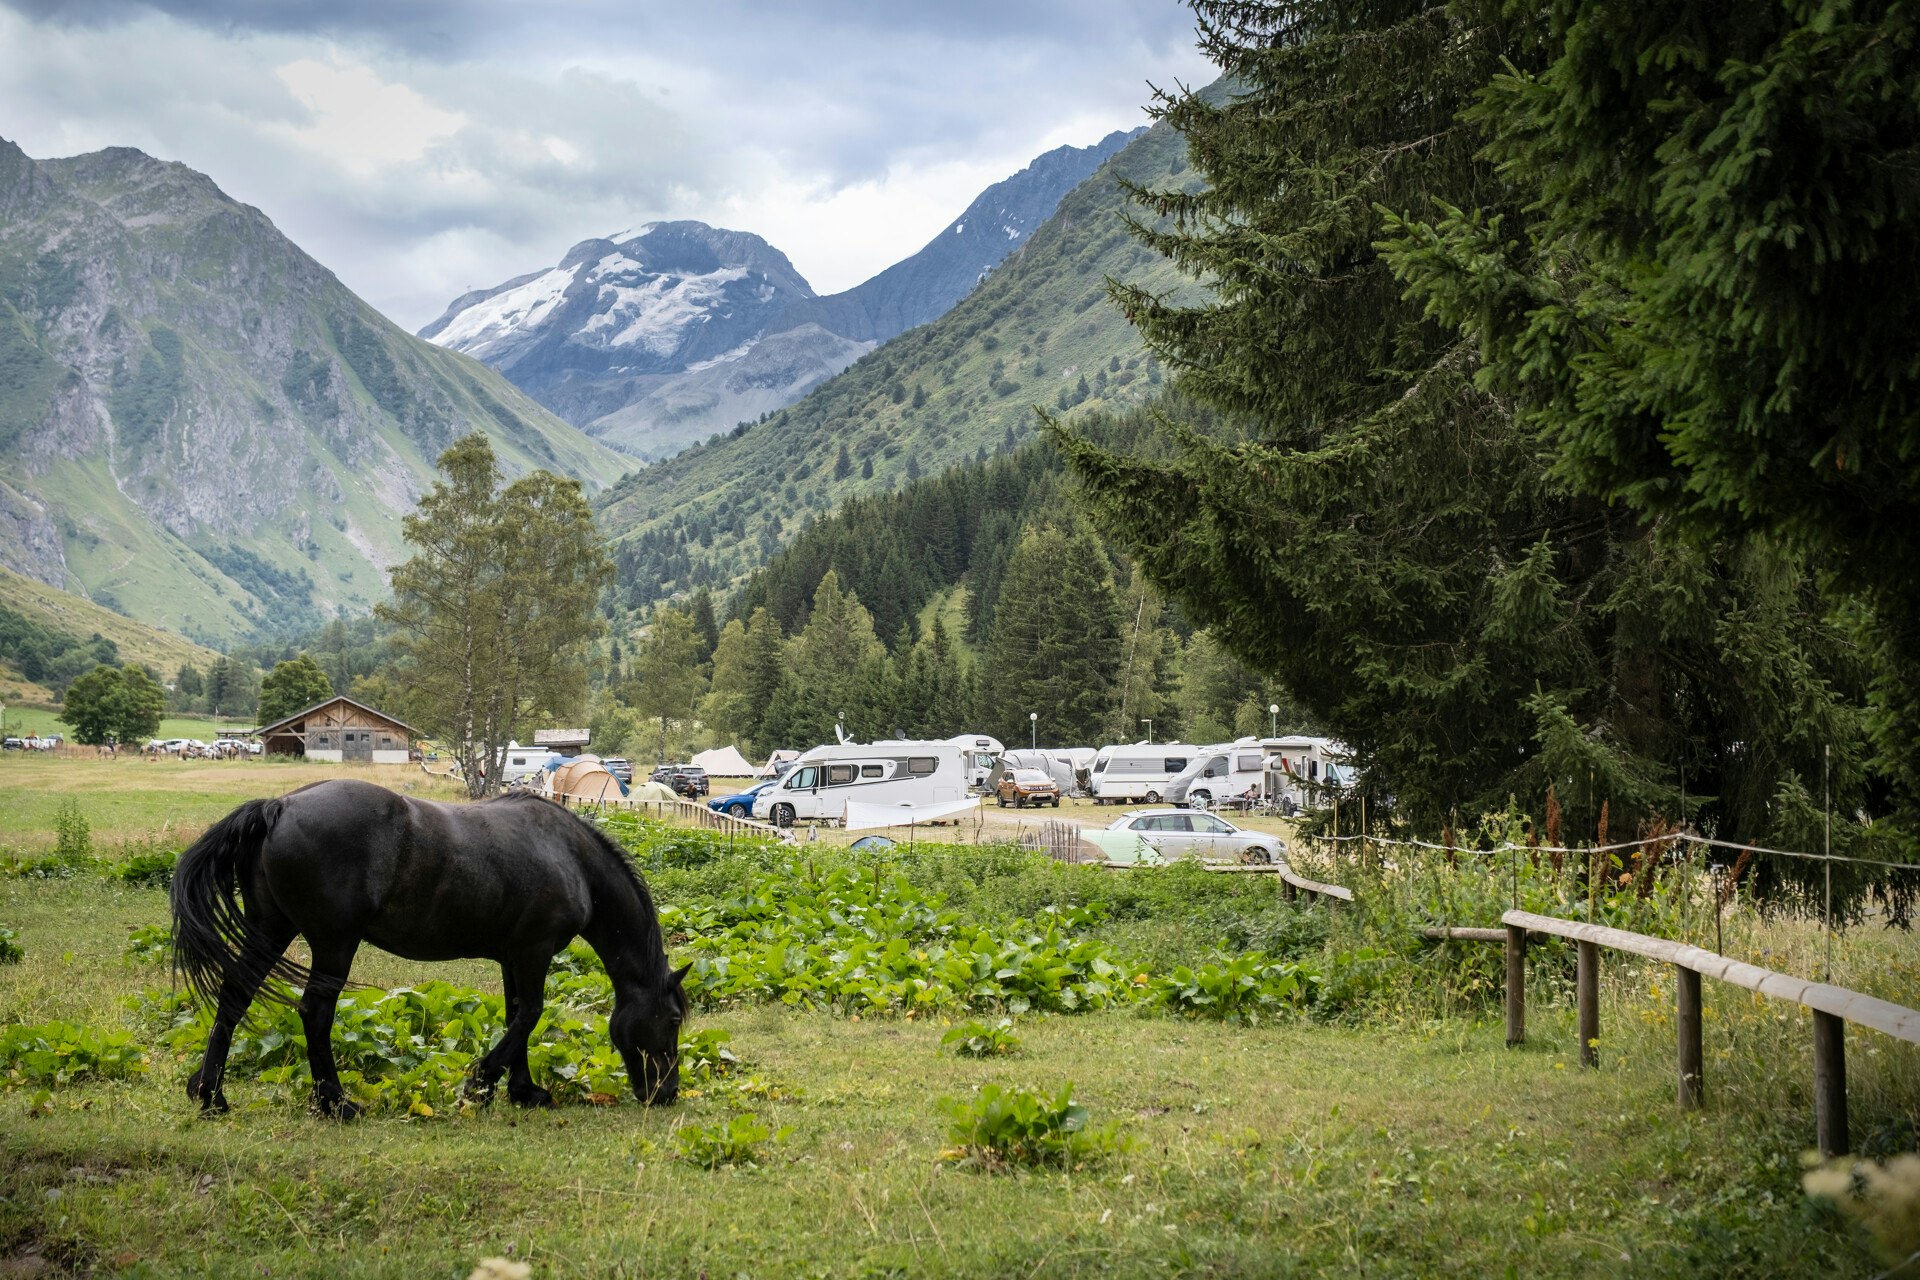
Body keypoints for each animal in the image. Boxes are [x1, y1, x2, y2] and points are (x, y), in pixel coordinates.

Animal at [169, 779, 688, 1117]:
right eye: (674, 1020)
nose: (666, 1093)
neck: (570, 857)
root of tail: (278, 806)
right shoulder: (534, 952)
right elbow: (531, 1014)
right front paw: (481, 1083)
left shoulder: (513, 956)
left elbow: (515, 1014)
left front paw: (521, 1091)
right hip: (333, 944)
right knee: (315, 1013)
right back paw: (336, 1103)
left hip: (270, 930)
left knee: (234, 997)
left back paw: (210, 1095)